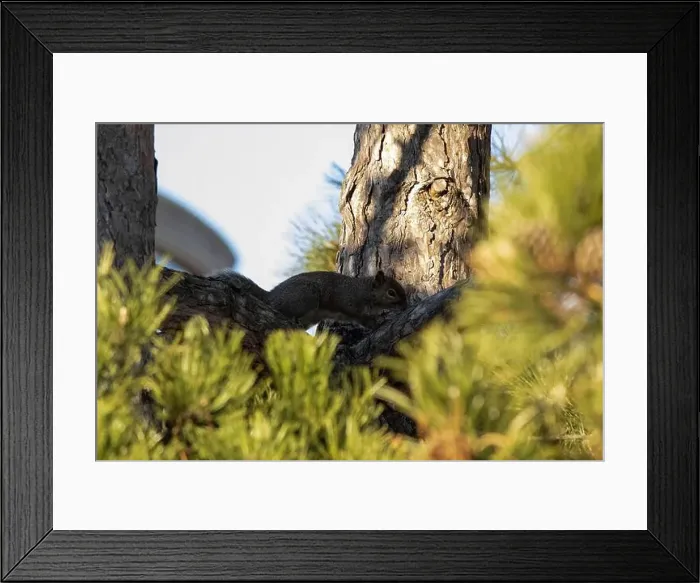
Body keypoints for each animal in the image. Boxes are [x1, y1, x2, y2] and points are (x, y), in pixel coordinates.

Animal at [209, 269, 408, 329]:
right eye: (391, 293)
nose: (406, 306)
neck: (365, 291)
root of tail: (271, 295)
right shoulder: (349, 302)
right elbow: (359, 316)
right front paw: (376, 321)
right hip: (306, 297)